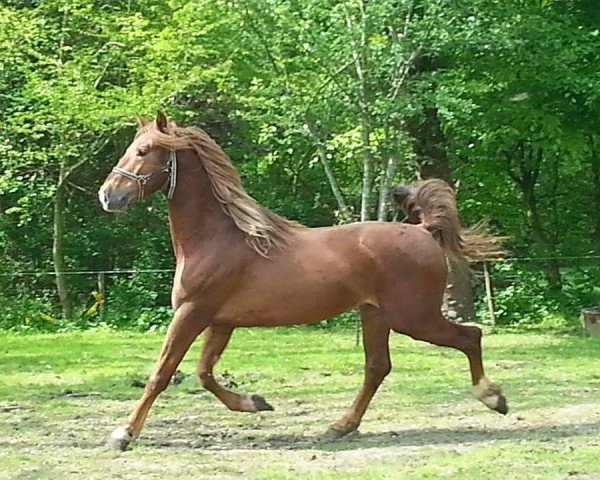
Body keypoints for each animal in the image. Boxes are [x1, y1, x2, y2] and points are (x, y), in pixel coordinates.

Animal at [98, 112, 506, 450]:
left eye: (143, 150)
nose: (107, 195)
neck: (219, 239)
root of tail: (423, 231)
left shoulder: (192, 312)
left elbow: (161, 374)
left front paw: (124, 434)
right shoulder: (220, 321)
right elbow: (203, 374)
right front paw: (255, 402)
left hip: (414, 318)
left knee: (470, 336)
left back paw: (492, 397)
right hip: (375, 314)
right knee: (377, 367)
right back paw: (339, 427)